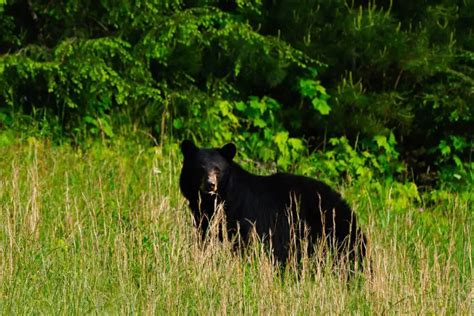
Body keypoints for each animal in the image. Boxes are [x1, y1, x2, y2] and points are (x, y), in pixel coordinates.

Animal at [179, 139, 366, 266]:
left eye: (218, 169)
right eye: (200, 167)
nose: (210, 184)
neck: (217, 200)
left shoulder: (243, 216)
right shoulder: (204, 218)